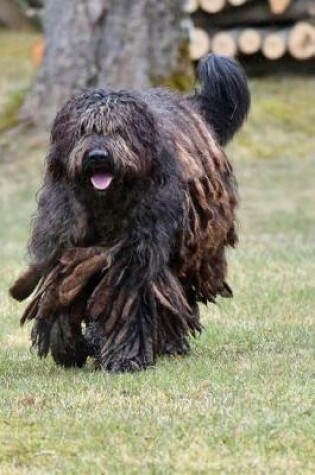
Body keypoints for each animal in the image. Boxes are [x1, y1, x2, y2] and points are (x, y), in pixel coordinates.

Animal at [9, 53, 251, 372]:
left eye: (119, 130)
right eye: (83, 130)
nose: (97, 156)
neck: (107, 204)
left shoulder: (135, 255)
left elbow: (129, 302)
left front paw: (124, 358)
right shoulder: (66, 246)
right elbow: (62, 292)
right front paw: (69, 347)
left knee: (177, 292)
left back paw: (170, 343)